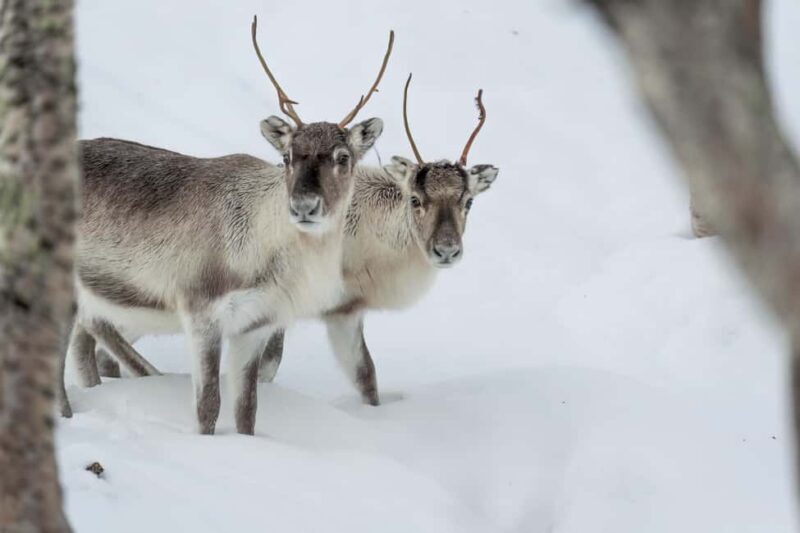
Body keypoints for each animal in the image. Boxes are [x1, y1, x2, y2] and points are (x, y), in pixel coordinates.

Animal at [59, 16, 393, 435]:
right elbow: (208, 407)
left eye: (343, 157)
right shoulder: (201, 310)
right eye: (287, 156)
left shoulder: (256, 326)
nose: (304, 206)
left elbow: (246, 410)